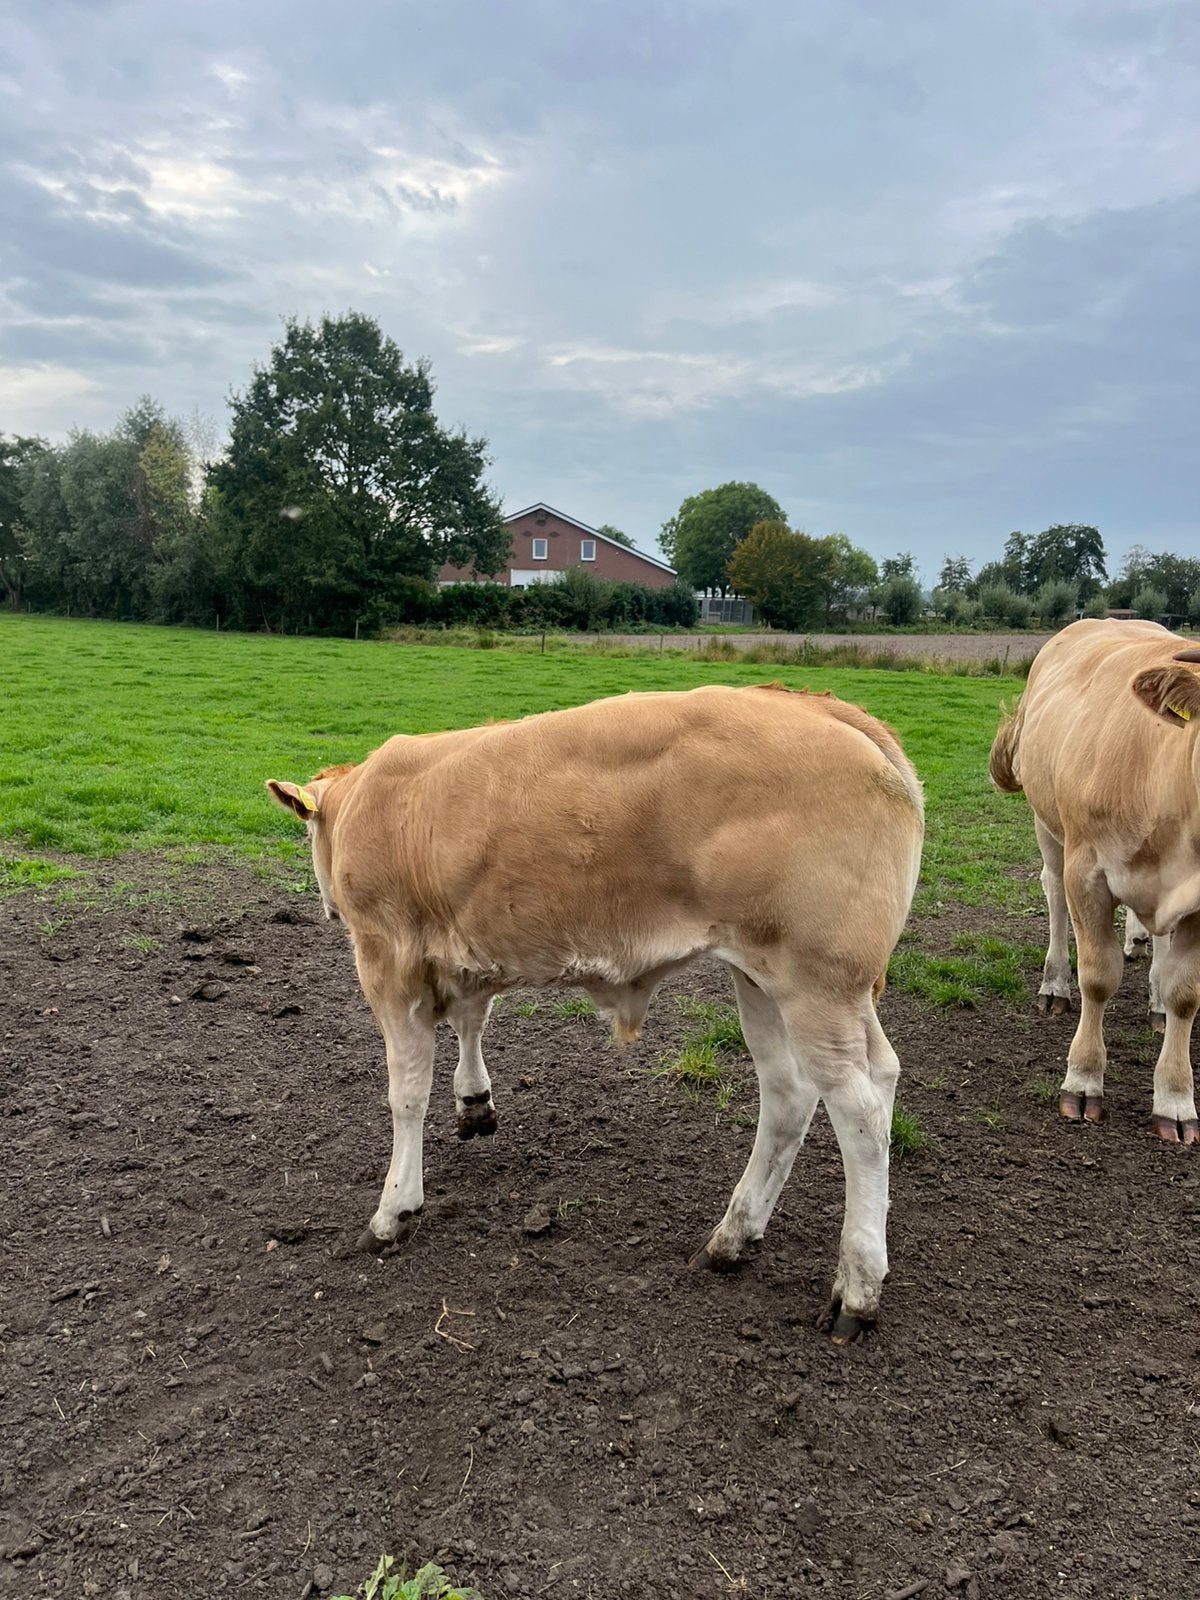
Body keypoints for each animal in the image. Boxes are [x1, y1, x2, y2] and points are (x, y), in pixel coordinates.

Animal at [268, 683, 924, 1341]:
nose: (326, 905)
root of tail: (823, 707)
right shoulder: (469, 953)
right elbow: (471, 1022)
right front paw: (474, 1101)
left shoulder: (387, 961)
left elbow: (406, 1095)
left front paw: (394, 1208)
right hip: (771, 979)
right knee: (803, 1090)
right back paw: (733, 1238)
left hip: (816, 982)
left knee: (861, 1114)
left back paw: (858, 1287)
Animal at [988, 618, 1200, 1143]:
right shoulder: (1087, 872)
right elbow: (1099, 977)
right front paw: (1083, 1081)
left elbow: (1186, 994)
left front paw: (1176, 1101)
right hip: (1048, 825)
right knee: (1053, 896)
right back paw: (1055, 987)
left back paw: (1155, 999)